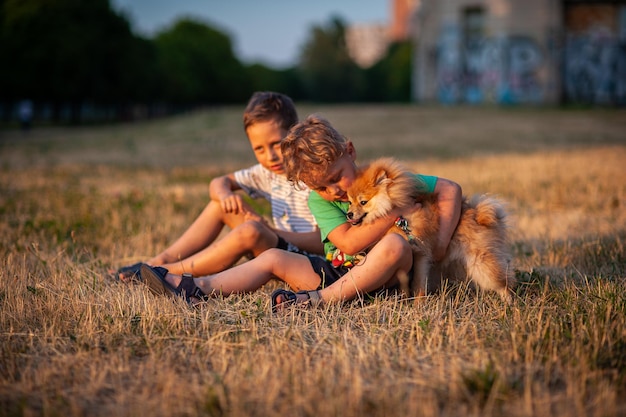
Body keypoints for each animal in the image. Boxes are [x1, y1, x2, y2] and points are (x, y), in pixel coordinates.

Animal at [344, 158, 516, 300]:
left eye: (363, 202)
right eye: (350, 202)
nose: (349, 214)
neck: (399, 218)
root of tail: (479, 213)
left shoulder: (421, 253)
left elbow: (419, 283)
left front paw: (418, 303)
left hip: (481, 263)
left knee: (504, 282)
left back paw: (509, 303)